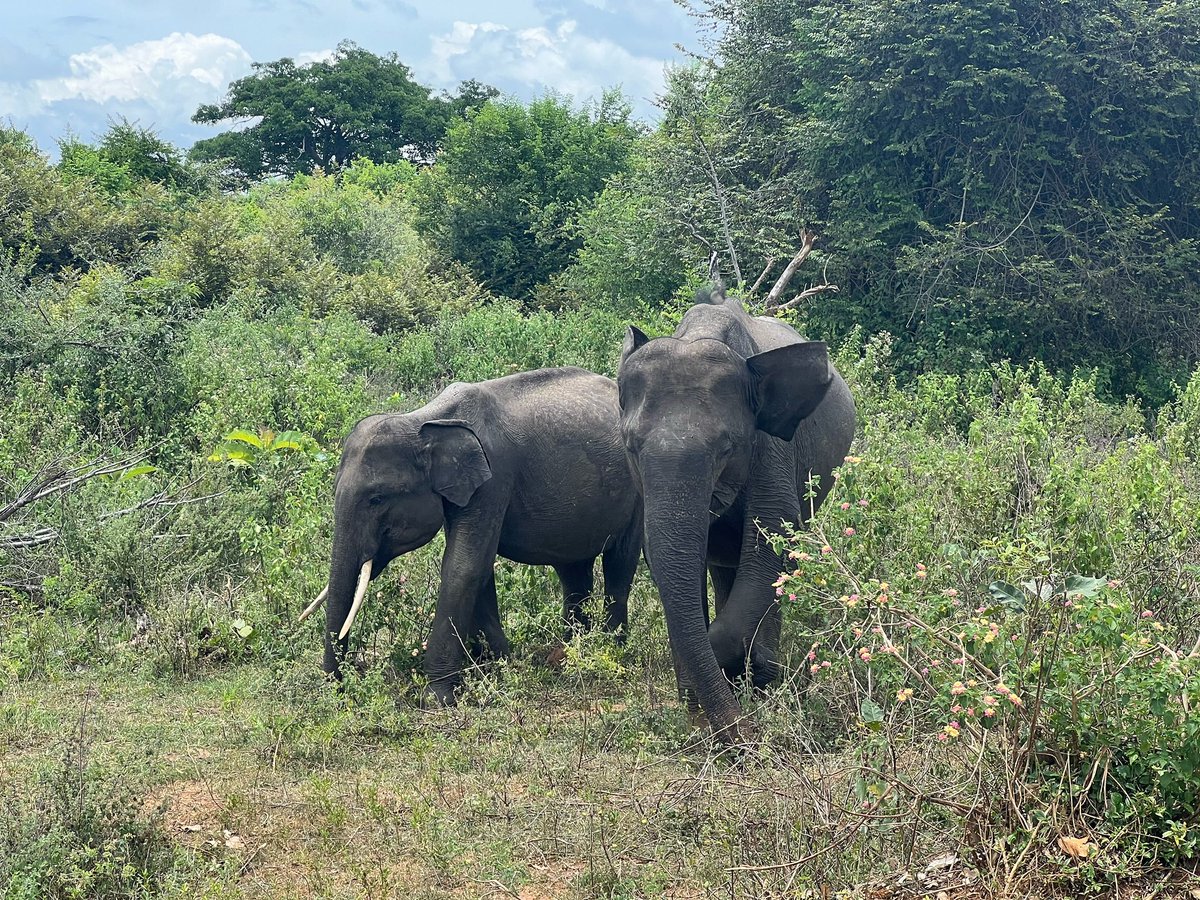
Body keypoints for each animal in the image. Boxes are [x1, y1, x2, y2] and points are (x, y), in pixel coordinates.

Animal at [304, 362, 648, 700]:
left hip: (638, 495)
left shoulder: (492, 481)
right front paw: (498, 667)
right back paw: (569, 654)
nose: (340, 688)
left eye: (376, 499)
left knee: (619, 566)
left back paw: (611, 651)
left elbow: (463, 567)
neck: (424, 421)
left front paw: (439, 696)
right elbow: (478, 570)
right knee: (573, 571)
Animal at [614, 286, 859, 739]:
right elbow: (665, 556)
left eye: (726, 447)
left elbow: (774, 533)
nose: (742, 738)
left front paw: (747, 672)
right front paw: (701, 695)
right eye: (631, 448)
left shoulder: (772, 448)